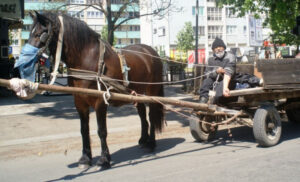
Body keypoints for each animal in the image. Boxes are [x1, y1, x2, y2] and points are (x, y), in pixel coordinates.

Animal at [27, 11, 164, 169]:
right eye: (30, 32)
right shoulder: (80, 102)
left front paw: (104, 159)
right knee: (143, 116)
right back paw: (143, 139)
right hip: (136, 94)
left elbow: (101, 131)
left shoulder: (100, 102)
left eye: (40, 34)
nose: (26, 59)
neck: (87, 58)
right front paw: (85, 158)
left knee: (152, 116)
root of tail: (152, 51)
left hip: (152, 91)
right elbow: (84, 130)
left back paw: (151, 143)